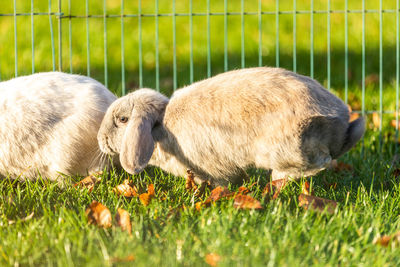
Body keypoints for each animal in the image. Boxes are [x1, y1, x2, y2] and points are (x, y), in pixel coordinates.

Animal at [97, 67, 366, 186]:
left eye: (122, 120)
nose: (100, 139)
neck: (159, 127)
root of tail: (338, 118)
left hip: (285, 149)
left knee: (318, 162)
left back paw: (277, 183)